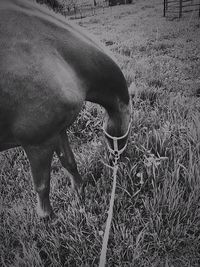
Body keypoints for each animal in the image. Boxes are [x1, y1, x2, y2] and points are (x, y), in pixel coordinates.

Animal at [0, 0, 133, 219]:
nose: (117, 162)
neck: (58, 57)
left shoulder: (57, 131)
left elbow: (69, 162)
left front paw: (80, 195)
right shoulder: (37, 144)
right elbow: (42, 185)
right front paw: (48, 218)